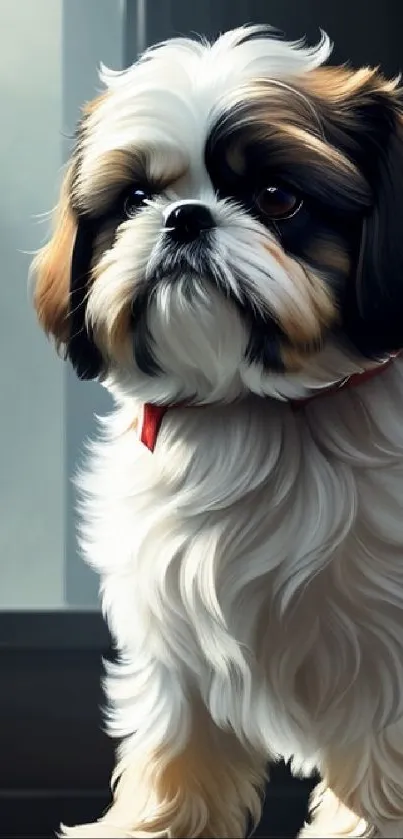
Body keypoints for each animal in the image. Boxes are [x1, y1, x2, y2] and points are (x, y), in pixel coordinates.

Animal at [32, 23, 403, 836]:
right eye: (137, 198)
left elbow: (381, 764)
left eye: (277, 198)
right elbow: (177, 743)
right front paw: (150, 825)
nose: (186, 217)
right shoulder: (173, 633)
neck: (253, 410)